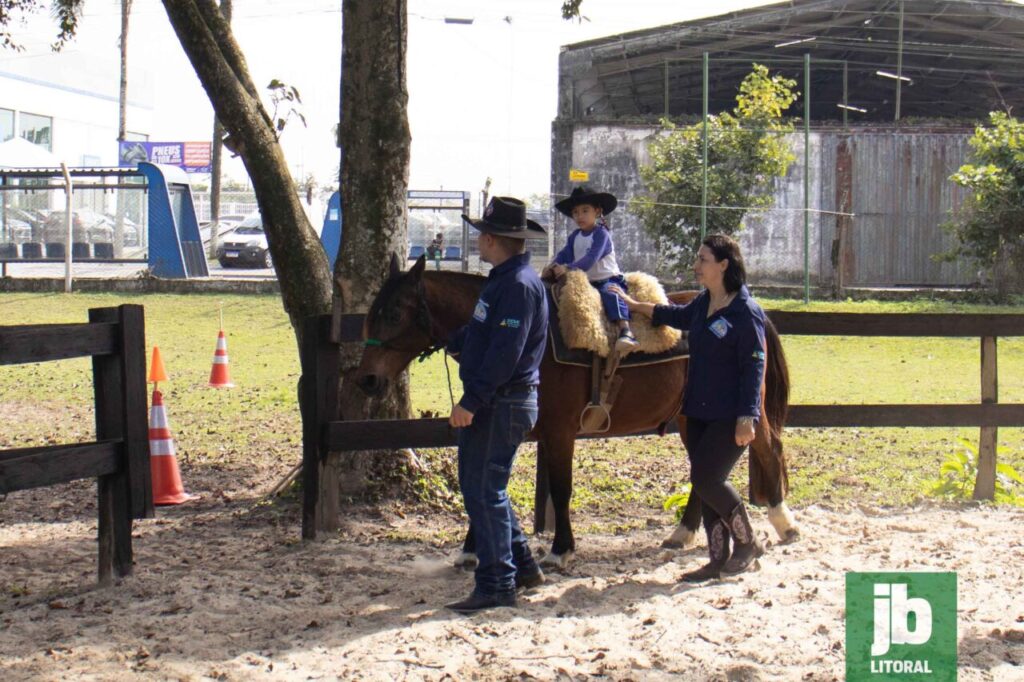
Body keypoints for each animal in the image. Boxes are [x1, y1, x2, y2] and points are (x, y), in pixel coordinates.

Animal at [356, 251, 794, 565]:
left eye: (393, 313)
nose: (367, 380)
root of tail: (755, 311)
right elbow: (488, 483)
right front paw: (472, 547)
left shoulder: (560, 431)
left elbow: (560, 489)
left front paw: (561, 549)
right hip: (691, 419)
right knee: (704, 472)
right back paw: (682, 533)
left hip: (743, 414)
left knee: (768, 448)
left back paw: (783, 522)